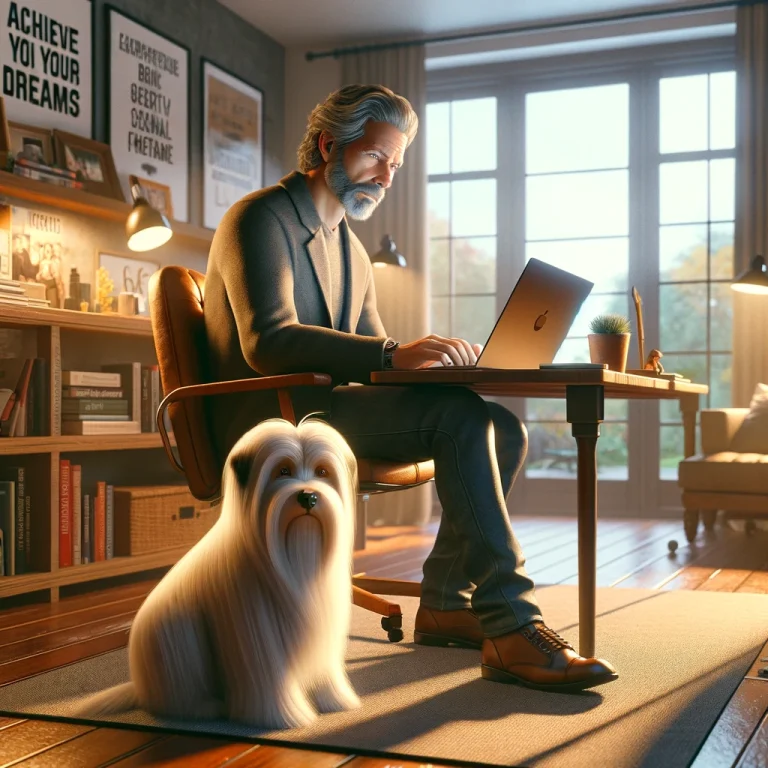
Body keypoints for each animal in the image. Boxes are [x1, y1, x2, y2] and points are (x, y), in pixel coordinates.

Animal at [76, 416, 364, 728]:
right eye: (283, 470)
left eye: (322, 471)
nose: (309, 497)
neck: (293, 554)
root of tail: (142, 689)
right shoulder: (256, 634)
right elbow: (268, 681)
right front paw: (283, 717)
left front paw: (334, 701)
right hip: (182, 638)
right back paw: (206, 707)